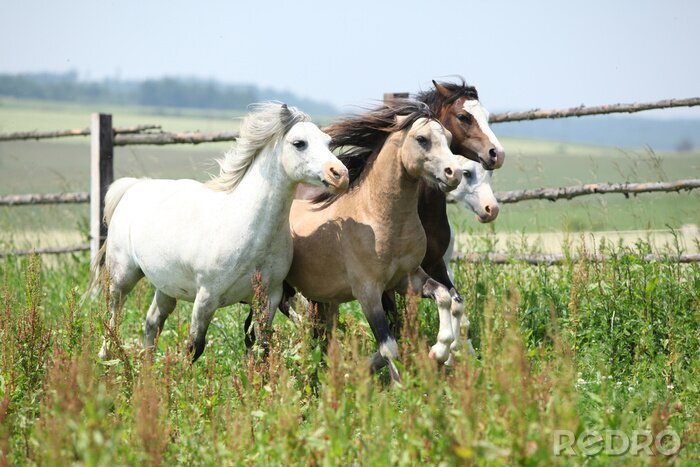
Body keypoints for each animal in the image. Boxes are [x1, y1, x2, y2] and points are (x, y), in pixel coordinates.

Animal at [93, 102, 349, 361]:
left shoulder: (269, 297)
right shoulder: (207, 297)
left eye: (328, 142)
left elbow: (263, 347)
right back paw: (106, 355)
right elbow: (194, 347)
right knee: (114, 314)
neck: (250, 233)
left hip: (166, 286)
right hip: (123, 276)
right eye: (299, 143)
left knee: (152, 322)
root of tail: (134, 186)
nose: (340, 175)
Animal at [283, 101, 462, 382]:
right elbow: (389, 347)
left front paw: (439, 350)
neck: (377, 218)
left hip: (324, 299)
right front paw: (399, 386)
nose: (453, 174)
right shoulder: (368, 292)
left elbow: (444, 296)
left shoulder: (407, 279)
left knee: (322, 335)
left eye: (449, 138)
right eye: (422, 139)